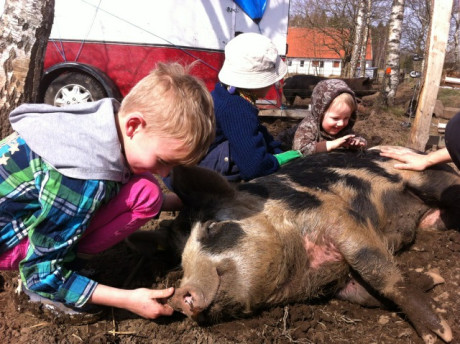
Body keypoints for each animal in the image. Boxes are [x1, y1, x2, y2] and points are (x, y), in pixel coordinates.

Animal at [145, 146, 460, 342]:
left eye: (212, 226)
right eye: (181, 260)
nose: (178, 295)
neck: (302, 269)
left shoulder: (339, 216)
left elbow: (378, 272)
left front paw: (440, 336)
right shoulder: (338, 282)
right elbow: (368, 295)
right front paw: (434, 278)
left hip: (427, 177)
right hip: (432, 221)